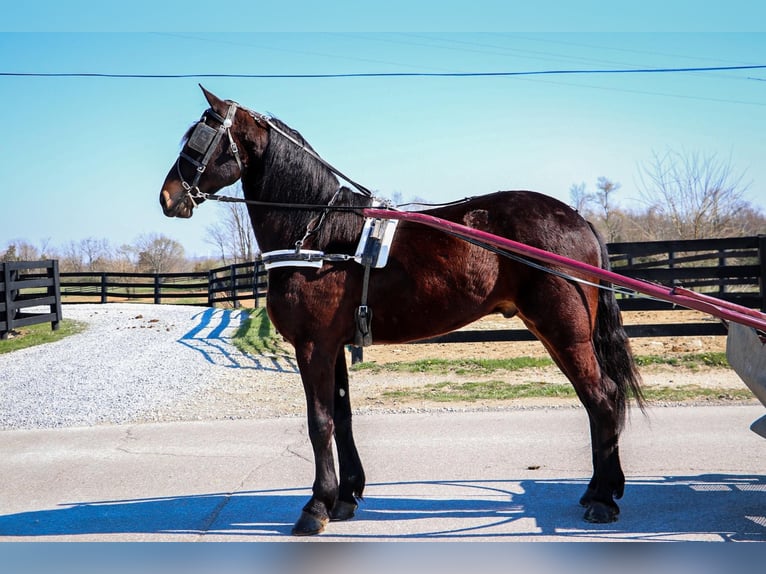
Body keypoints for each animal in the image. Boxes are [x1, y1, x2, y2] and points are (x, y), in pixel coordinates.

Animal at [159, 86, 644, 540]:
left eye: (200, 138)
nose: (168, 197)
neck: (318, 234)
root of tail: (578, 220)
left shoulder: (312, 347)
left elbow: (319, 422)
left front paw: (316, 507)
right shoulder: (334, 347)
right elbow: (342, 418)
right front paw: (345, 497)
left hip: (564, 331)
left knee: (601, 397)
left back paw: (603, 501)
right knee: (597, 399)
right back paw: (599, 490)